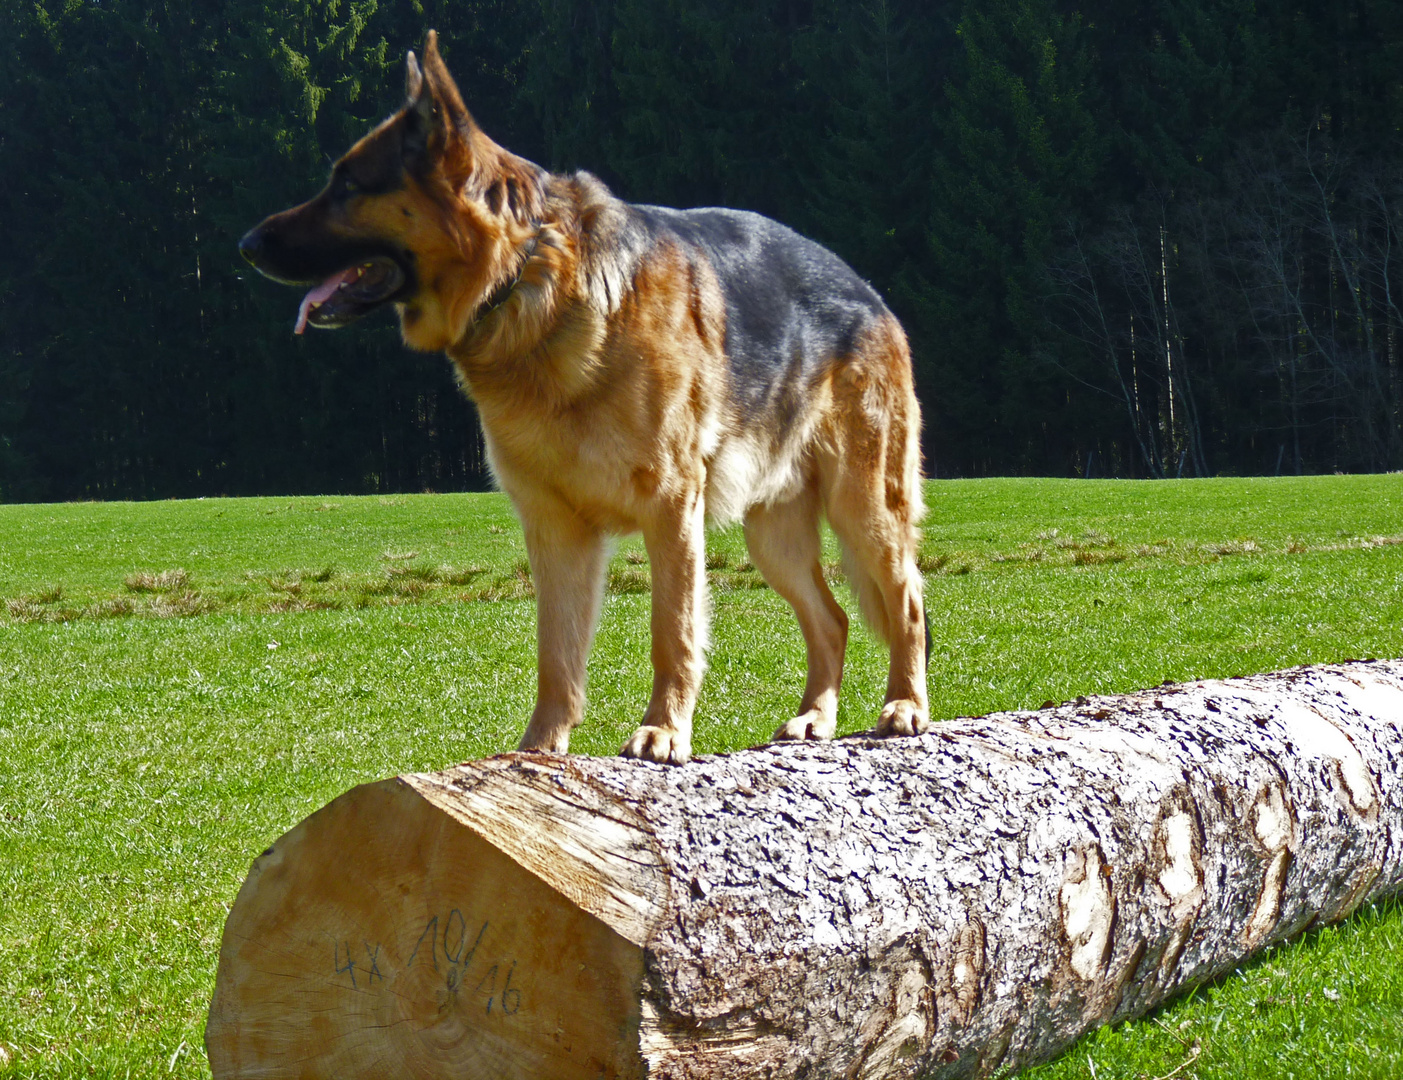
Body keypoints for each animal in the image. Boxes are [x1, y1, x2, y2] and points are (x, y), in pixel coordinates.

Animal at [241, 31, 931, 757]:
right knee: (831, 619)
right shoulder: (554, 529)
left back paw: (905, 706)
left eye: (348, 185)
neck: (527, 278)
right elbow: (558, 653)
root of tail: (869, 293)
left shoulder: (670, 512)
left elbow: (672, 633)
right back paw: (814, 718)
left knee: (907, 604)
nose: (245, 245)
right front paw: (538, 750)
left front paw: (662, 730)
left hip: (864, 507)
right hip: (774, 535)